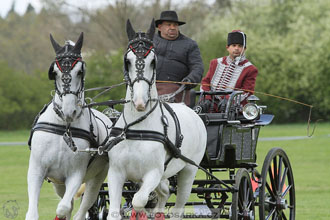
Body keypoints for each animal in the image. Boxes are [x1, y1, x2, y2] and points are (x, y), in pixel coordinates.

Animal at [25, 32, 112, 220]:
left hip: (96, 178)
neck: (63, 126)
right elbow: (33, 213)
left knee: (83, 206)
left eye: (80, 71)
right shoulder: (37, 170)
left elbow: (62, 208)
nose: (68, 111)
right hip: (59, 183)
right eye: (55, 72)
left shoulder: (76, 175)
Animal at [102, 19, 208, 219]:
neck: (137, 130)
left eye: (153, 61)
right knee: (164, 192)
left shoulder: (153, 173)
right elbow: (115, 211)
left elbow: (138, 201)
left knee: (177, 207)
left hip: (188, 171)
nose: (140, 102)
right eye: (127, 61)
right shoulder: (116, 173)